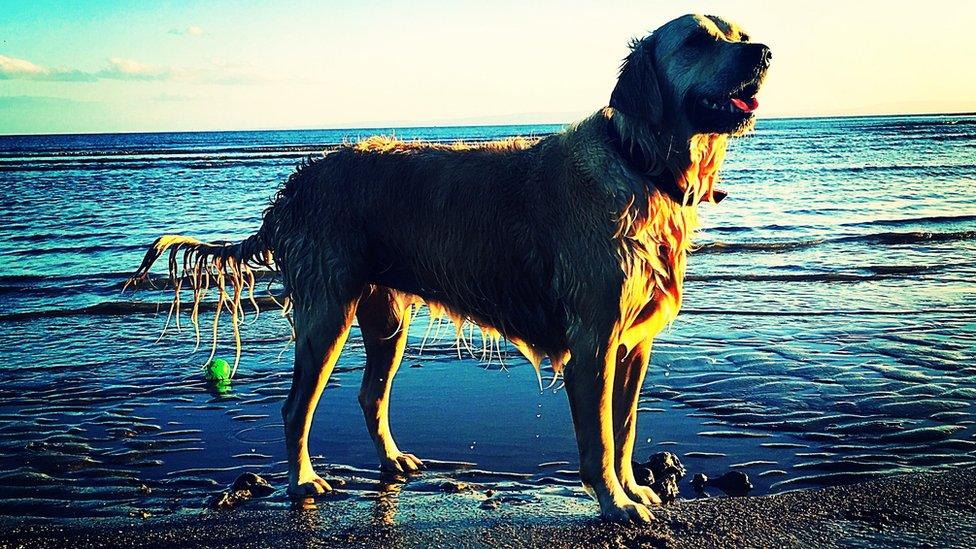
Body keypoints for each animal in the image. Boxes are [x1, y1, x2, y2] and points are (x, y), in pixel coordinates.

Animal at [127, 13, 772, 524]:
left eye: (739, 34)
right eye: (697, 40)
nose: (764, 52)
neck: (640, 165)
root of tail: (296, 185)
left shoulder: (634, 344)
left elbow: (626, 428)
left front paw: (636, 488)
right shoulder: (595, 342)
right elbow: (599, 441)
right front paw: (616, 502)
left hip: (386, 317)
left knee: (370, 396)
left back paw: (392, 461)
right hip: (327, 311)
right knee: (295, 408)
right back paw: (303, 481)